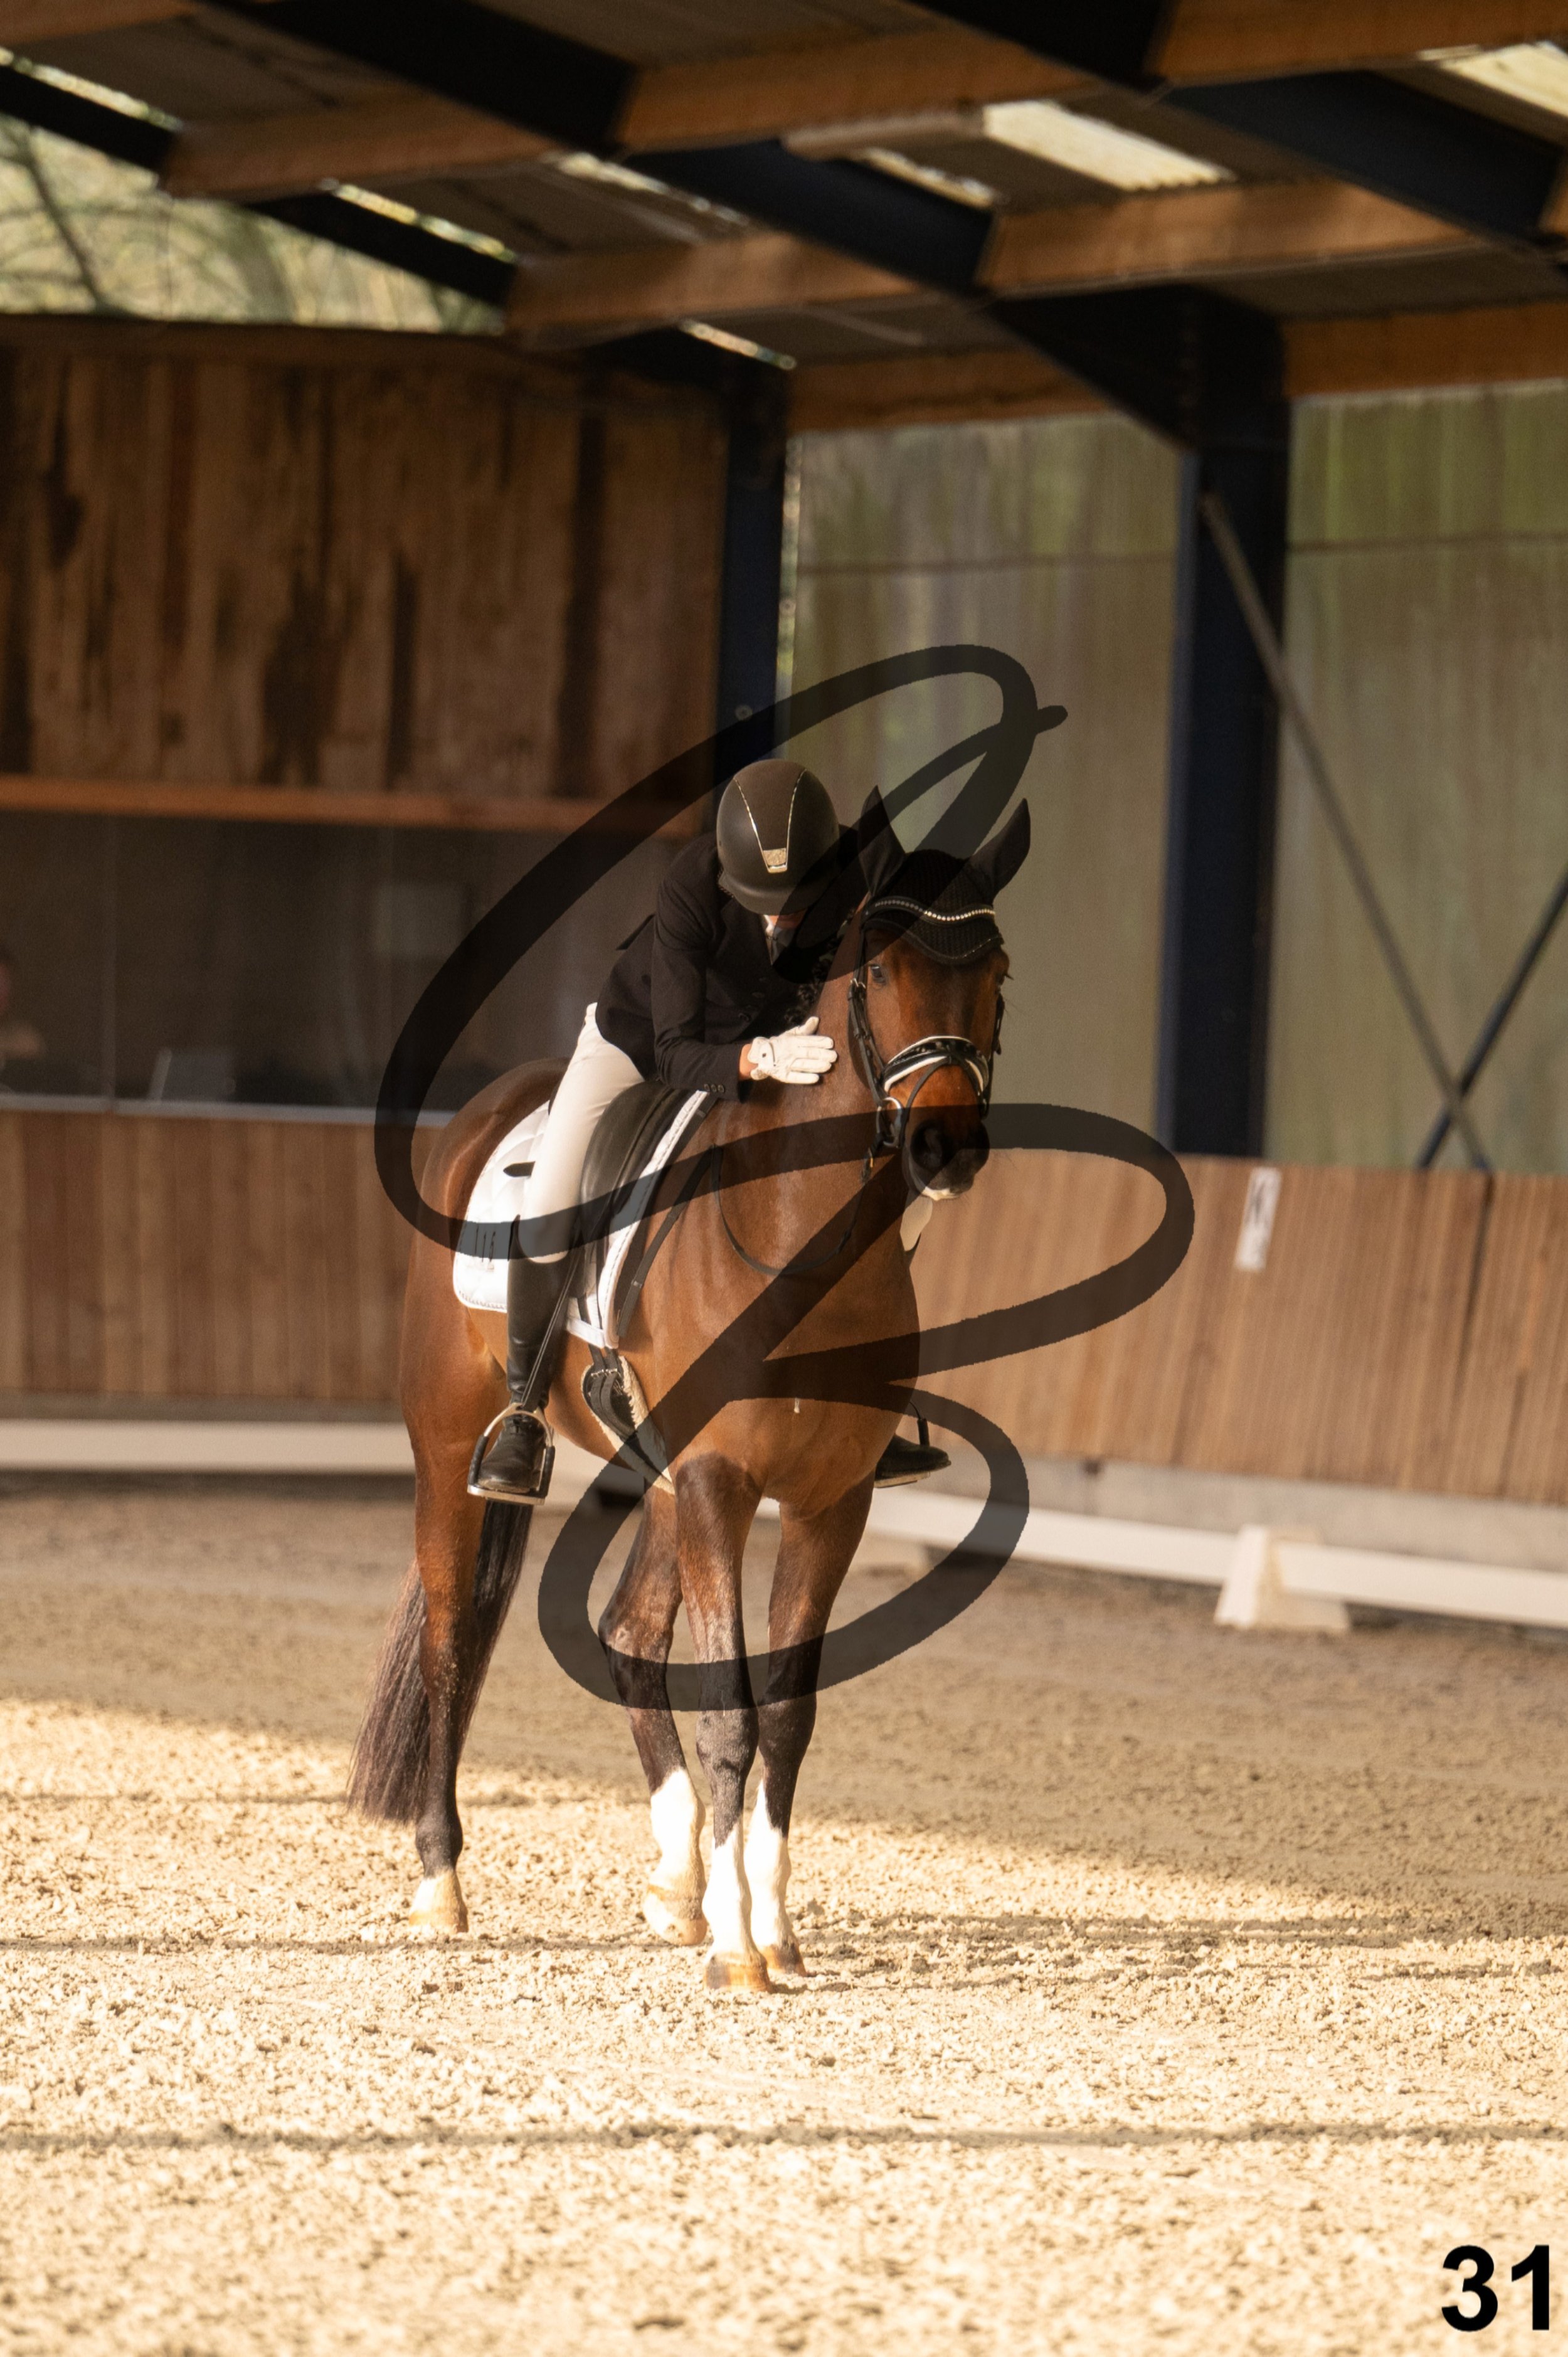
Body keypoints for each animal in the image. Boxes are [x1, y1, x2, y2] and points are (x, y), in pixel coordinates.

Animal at [347, 833, 1019, 1993]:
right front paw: (743, 1950)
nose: (946, 1148)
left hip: (657, 1479)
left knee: (626, 1632)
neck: (802, 1239)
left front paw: (771, 1926)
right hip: (452, 1449)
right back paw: (443, 1881)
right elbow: (734, 1715)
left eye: (1000, 972)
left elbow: (787, 1711)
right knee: (449, 1641)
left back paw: (678, 1878)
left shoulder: (827, 1499)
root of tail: (488, 1112)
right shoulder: (719, 1480)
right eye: (880, 971)